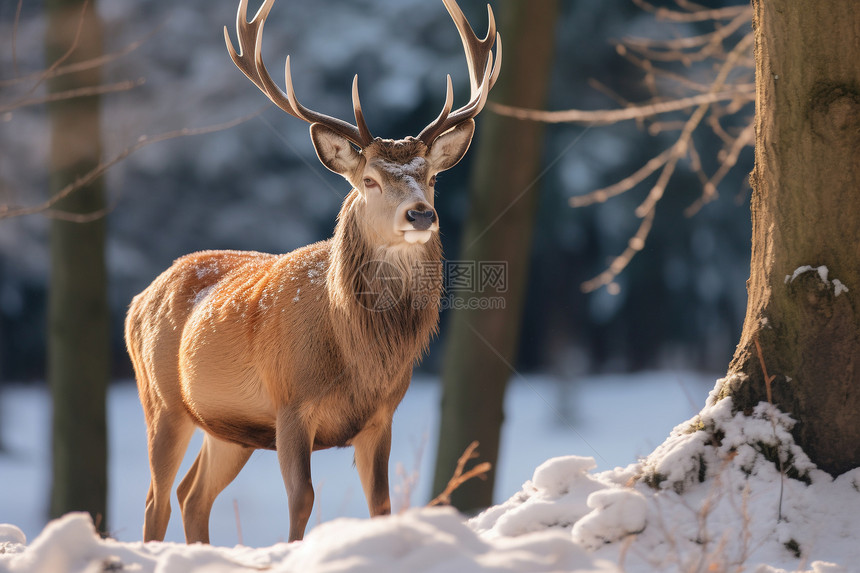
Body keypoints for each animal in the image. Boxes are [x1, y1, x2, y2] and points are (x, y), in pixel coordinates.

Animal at [127, 0, 500, 544]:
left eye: (431, 177)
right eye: (369, 180)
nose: (421, 214)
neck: (357, 354)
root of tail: (139, 300)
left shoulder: (382, 415)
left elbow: (382, 503)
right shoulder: (289, 404)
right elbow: (302, 499)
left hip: (229, 430)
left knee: (191, 495)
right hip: (161, 399)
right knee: (155, 499)